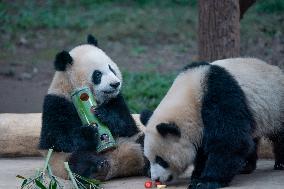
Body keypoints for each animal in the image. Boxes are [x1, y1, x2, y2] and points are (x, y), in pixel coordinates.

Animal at [38, 34, 149, 181]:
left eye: (111, 68)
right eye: (97, 74)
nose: (115, 84)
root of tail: (119, 165)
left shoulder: (116, 99)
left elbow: (128, 126)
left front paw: (105, 115)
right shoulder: (56, 103)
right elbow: (55, 138)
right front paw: (89, 132)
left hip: (133, 141)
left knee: (147, 142)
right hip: (62, 160)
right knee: (77, 160)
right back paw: (97, 168)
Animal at [142, 58, 284, 189]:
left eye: (161, 160)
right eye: (148, 159)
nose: (155, 178)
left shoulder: (220, 96)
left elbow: (230, 140)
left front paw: (206, 181)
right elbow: (203, 148)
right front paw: (198, 173)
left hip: (276, 106)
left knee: (279, 135)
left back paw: (280, 164)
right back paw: (245, 166)